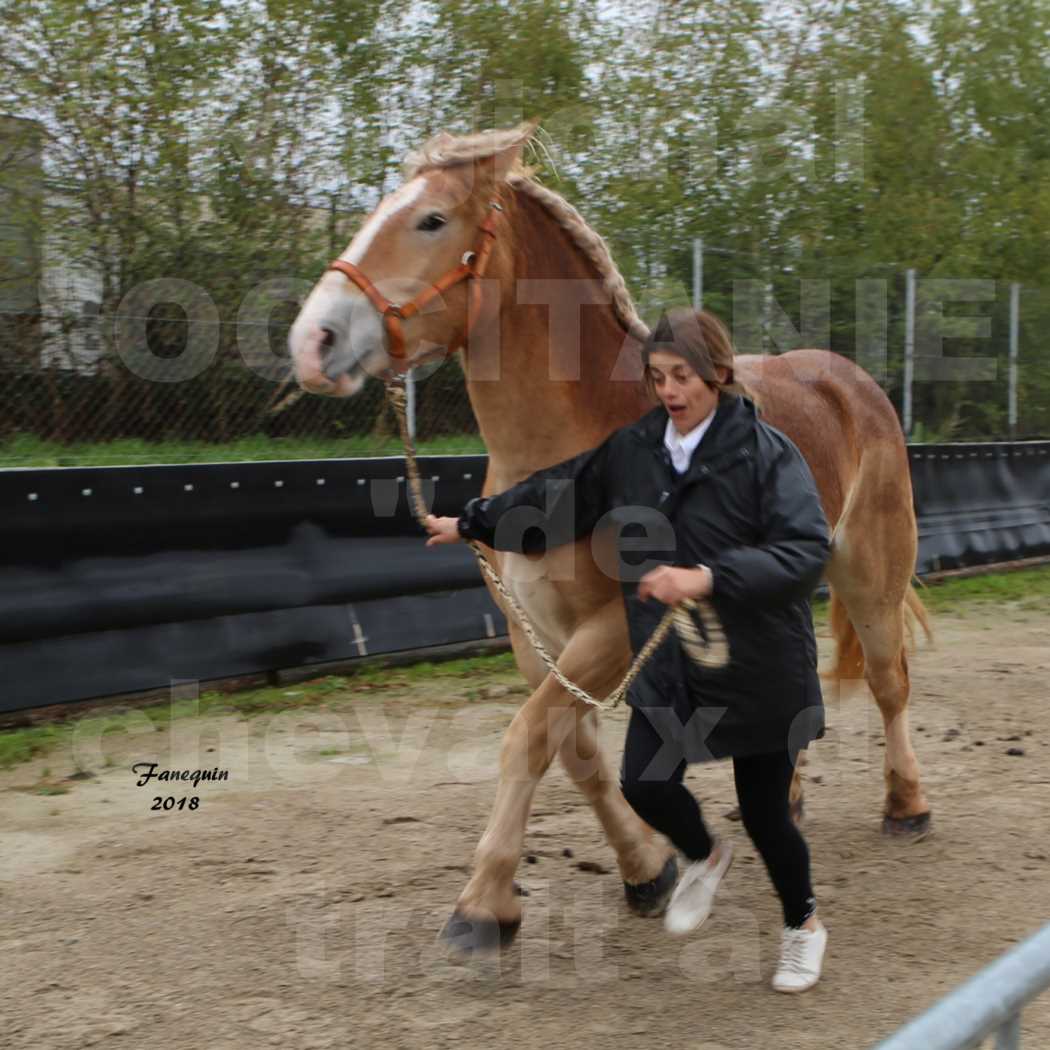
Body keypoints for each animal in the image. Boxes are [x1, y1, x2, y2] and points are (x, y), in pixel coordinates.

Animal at [285, 120, 928, 953]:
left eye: (431, 220)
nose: (313, 341)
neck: (575, 448)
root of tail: (848, 381)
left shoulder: (618, 629)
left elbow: (528, 738)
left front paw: (481, 907)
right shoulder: (536, 637)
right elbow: (575, 751)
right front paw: (645, 870)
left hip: (872, 574)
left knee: (888, 682)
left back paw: (907, 806)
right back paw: (785, 801)